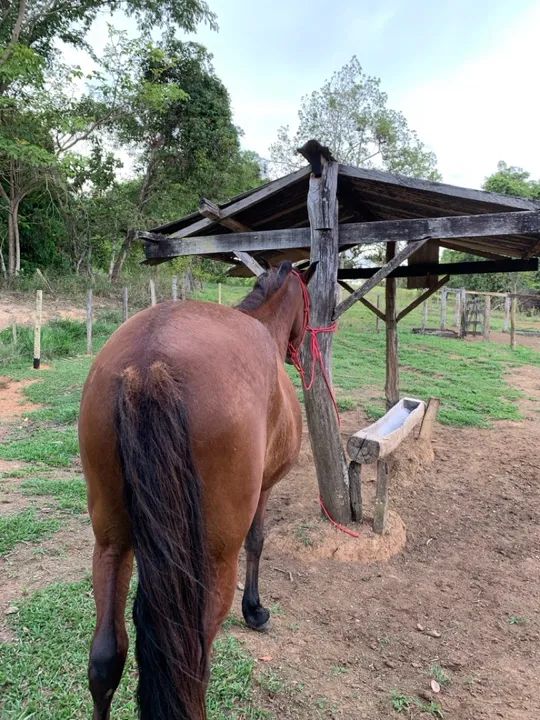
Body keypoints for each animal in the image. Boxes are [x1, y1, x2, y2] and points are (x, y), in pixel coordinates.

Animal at [78, 261, 316, 720]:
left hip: (112, 544)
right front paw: (254, 610)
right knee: (194, 669)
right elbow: (258, 541)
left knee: (105, 660)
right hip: (212, 564)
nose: (305, 350)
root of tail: (149, 364)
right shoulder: (264, 489)